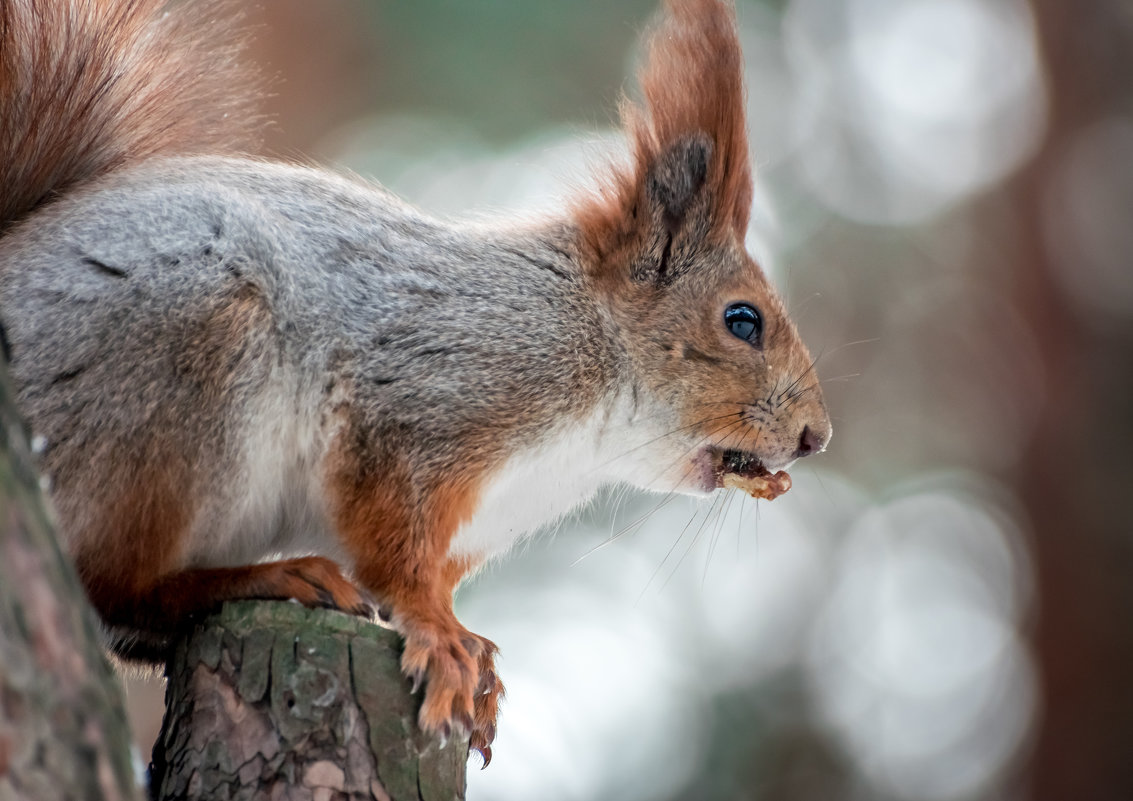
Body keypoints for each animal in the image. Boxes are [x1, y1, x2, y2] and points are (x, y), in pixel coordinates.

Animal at [0, 0, 833, 761]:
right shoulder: (422, 401)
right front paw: (439, 634)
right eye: (742, 321)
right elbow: (393, 548)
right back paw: (267, 577)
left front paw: (473, 649)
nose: (815, 437)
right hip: (175, 369)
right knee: (114, 587)